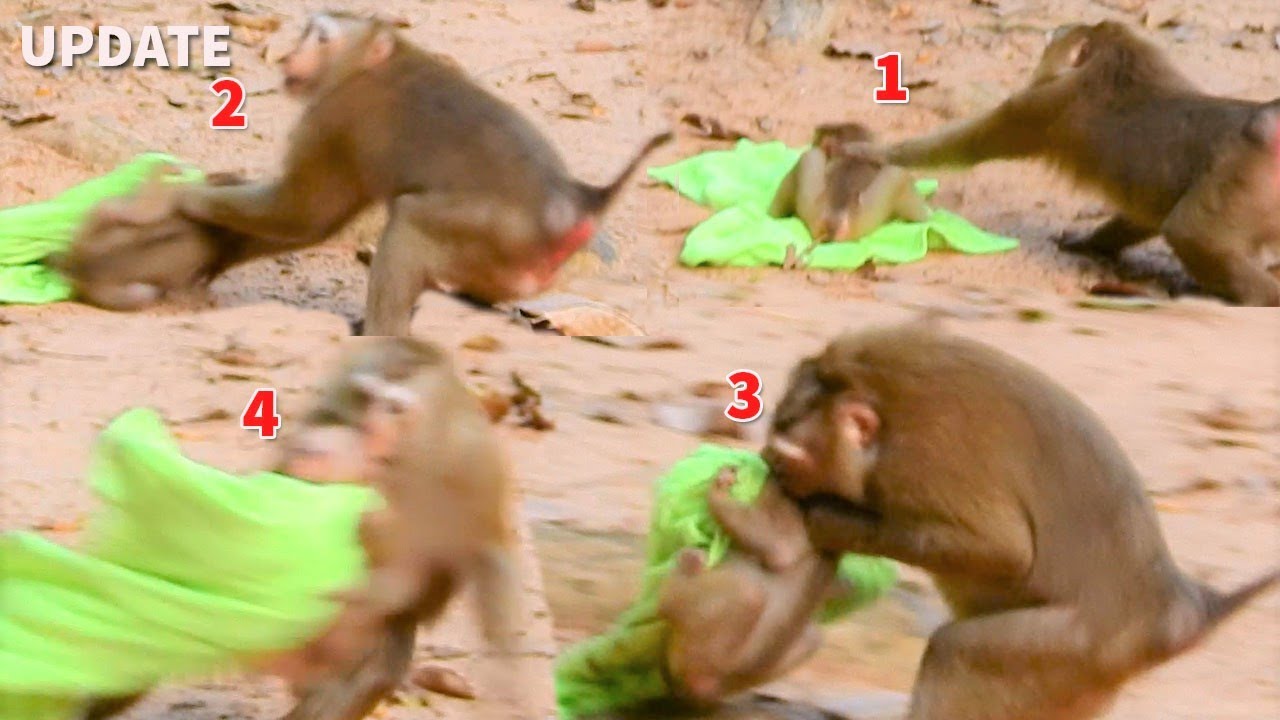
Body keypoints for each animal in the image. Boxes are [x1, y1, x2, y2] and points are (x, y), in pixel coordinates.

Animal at [148, 12, 673, 335]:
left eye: (322, 37)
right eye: (308, 33)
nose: (290, 56)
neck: (374, 61)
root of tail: (576, 202)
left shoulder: (336, 117)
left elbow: (300, 214)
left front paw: (189, 197)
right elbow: (311, 225)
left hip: (490, 234)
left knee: (409, 225)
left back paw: (380, 335)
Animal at [761, 321, 1280, 720]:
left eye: (791, 453)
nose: (773, 466)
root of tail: (1177, 612)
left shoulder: (924, 461)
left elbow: (1005, 550)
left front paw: (822, 517)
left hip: (1077, 647)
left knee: (957, 650)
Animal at [840, 21, 1280, 306]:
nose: (1051, 33)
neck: (1117, 63)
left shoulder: (1043, 105)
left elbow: (973, 143)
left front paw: (874, 153)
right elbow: (1145, 215)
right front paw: (1090, 243)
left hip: (1239, 176)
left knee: (1191, 233)